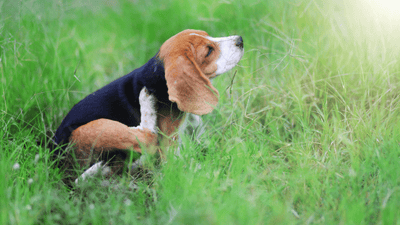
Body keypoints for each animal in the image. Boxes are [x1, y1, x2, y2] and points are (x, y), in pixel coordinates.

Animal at [51, 29, 242, 183]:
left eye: (208, 35)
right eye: (209, 51)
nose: (240, 40)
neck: (157, 75)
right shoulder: (168, 144)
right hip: (94, 128)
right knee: (148, 137)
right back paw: (146, 102)